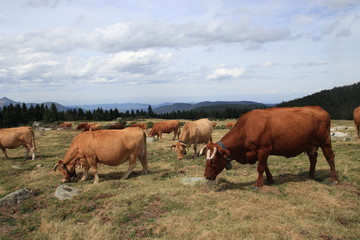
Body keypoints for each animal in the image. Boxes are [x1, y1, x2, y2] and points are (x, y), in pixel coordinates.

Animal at [201, 106, 338, 188]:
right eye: (205, 160)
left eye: (212, 161)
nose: (206, 176)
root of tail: (318, 108)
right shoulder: (261, 153)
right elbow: (265, 166)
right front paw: (270, 179)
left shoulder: (263, 149)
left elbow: (260, 167)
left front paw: (258, 184)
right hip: (311, 145)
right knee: (313, 157)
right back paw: (311, 176)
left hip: (325, 142)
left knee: (330, 158)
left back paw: (334, 179)